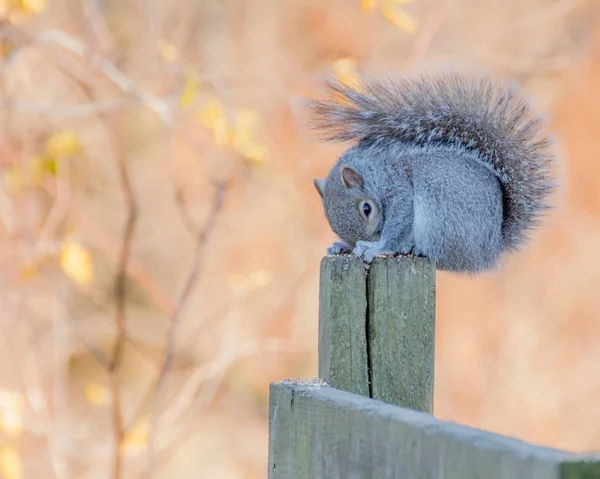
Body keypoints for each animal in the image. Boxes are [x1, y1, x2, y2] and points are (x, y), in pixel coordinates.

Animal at [312, 71, 556, 274]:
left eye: (366, 209)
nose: (373, 237)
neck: (373, 170)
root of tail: (488, 252)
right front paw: (341, 246)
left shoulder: (397, 185)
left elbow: (399, 219)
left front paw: (377, 246)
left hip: (438, 213)